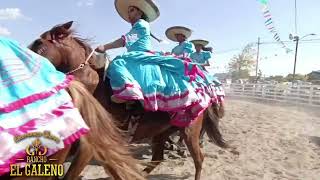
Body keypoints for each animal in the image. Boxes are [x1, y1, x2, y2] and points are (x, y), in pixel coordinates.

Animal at [28, 21, 228, 180]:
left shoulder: (89, 146)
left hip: (189, 131)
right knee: (158, 157)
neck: (92, 88)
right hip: (161, 132)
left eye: (38, 43)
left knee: (199, 158)